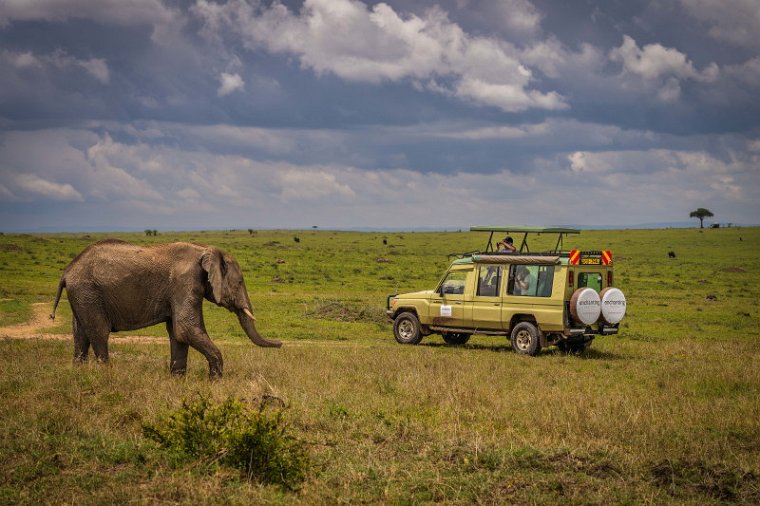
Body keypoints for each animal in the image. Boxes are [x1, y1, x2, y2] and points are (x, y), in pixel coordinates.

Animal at [50, 239, 282, 378]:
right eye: (240, 282)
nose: (280, 344)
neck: (205, 250)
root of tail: (67, 271)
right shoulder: (184, 283)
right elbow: (185, 329)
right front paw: (215, 382)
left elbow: (178, 333)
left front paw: (178, 379)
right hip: (88, 291)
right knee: (99, 332)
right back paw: (106, 374)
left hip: (82, 295)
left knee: (80, 334)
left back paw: (79, 373)